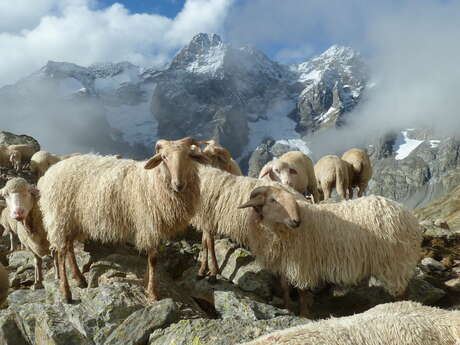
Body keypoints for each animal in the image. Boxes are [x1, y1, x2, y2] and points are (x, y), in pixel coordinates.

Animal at [39, 136, 208, 302]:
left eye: (188, 156)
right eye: (164, 157)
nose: (178, 184)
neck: (154, 180)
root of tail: (50, 172)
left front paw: (147, 282)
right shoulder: (149, 224)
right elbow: (153, 259)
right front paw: (153, 293)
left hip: (73, 220)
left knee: (69, 248)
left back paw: (79, 278)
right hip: (60, 217)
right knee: (61, 253)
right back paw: (66, 293)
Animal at [239, 187, 422, 316]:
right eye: (272, 200)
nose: (296, 221)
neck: (278, 231)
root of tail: (407, 215)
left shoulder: (302, 265)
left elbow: (302, 292)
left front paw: (304, 314)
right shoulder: (284, 264)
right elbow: (285, 288)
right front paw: (289, 308)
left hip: (395, 262)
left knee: (402, 291)